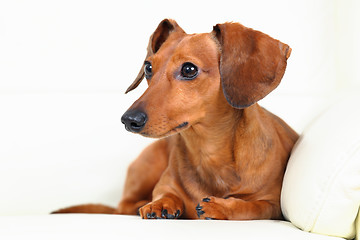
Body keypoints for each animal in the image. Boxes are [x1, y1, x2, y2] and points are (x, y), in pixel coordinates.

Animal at [52, 19, 298, 220]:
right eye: (148, 67)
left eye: (189, 69)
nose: (128, 120)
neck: (208, 152)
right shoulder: (164, 183)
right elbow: (165, 192)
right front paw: (161, 203)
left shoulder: (273, 205)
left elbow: (251, 206)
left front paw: (221, 207)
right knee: (124, 206)